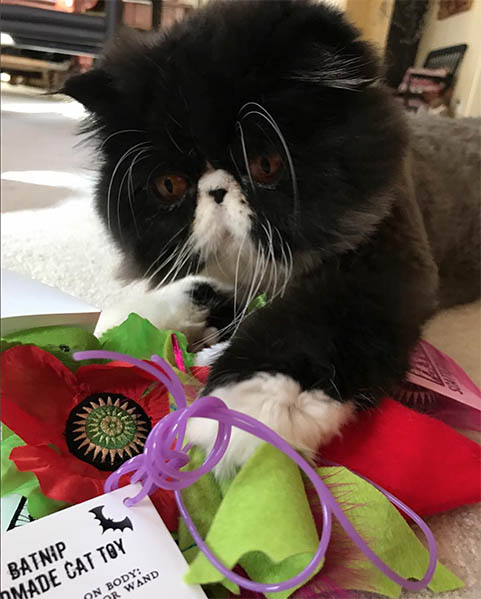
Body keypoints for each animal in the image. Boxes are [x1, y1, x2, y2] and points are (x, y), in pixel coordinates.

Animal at [62, 0, 476, 478]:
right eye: (170, 185)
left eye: (265, 164)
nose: (217, 190)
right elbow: (195, 287)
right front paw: (133, 315)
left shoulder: (382, 273)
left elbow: (306, 328)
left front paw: (244, 412)